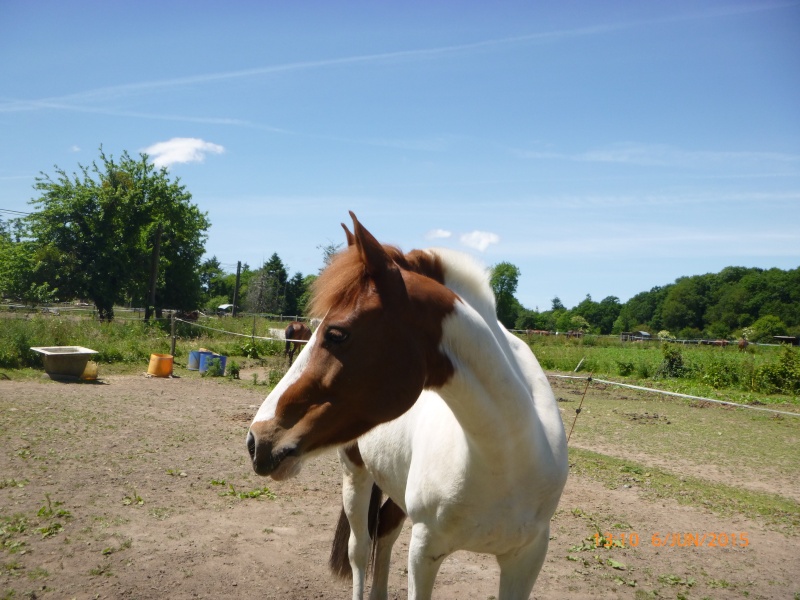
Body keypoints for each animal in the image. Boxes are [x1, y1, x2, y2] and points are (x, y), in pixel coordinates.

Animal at [247, 212, 564, 600]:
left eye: (336, 333)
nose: (256, 439)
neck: (505, 457)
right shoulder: (425, 550)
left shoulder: (527, 558)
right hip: (355, 475)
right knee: (359, 549)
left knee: (383, 531)